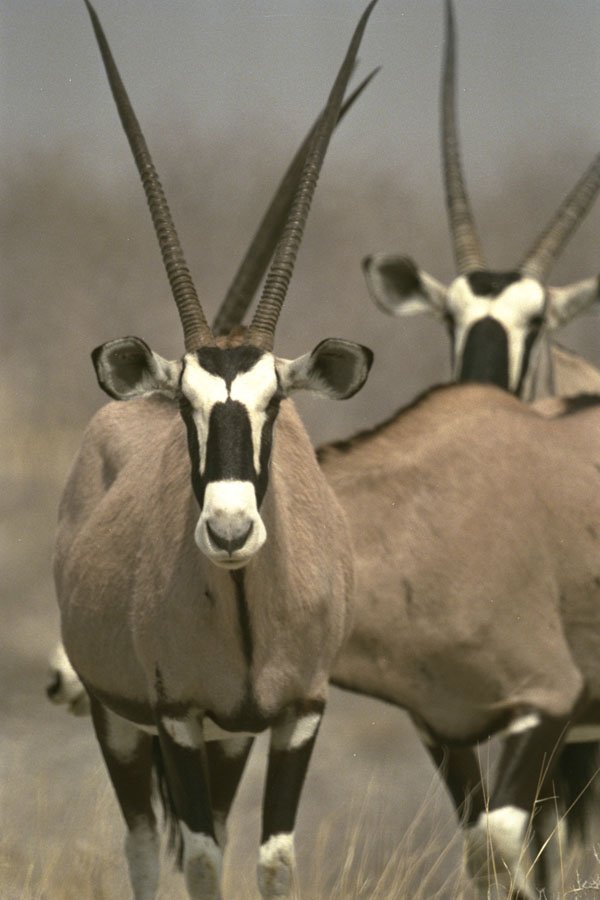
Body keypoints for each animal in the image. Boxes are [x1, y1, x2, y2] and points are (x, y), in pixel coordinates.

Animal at [53, 3, 376, 899]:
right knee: (142, 844)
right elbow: (196, 857)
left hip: (230, 740)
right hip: (118, 718)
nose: (229, 531)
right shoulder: (177, 716)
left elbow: (269, 858)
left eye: (274, 404)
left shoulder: (297, 713)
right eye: (187, 406)